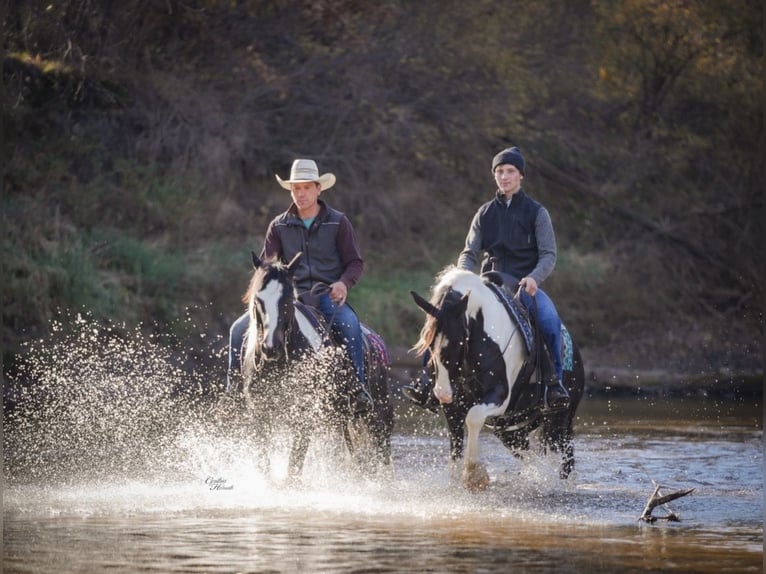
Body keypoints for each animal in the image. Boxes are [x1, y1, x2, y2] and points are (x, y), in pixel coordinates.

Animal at [239, 252, 394, 484]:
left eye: (287, 300)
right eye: (258, 299)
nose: (271, 347)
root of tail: (376, 340)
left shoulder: (305, 416)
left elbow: (294, 465)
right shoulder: (260, 415)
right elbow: (266, 464)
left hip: (378, 417)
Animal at [410, 266, 585, 491]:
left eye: (457, 342)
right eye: (429, 344)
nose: (443, 393)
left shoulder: (499, 396)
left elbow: (473, 417)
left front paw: (474, 475)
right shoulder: (452, 406)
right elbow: (456, 442)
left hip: (560, 418)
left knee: (564, 455)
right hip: (511, 428)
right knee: (530, 453)